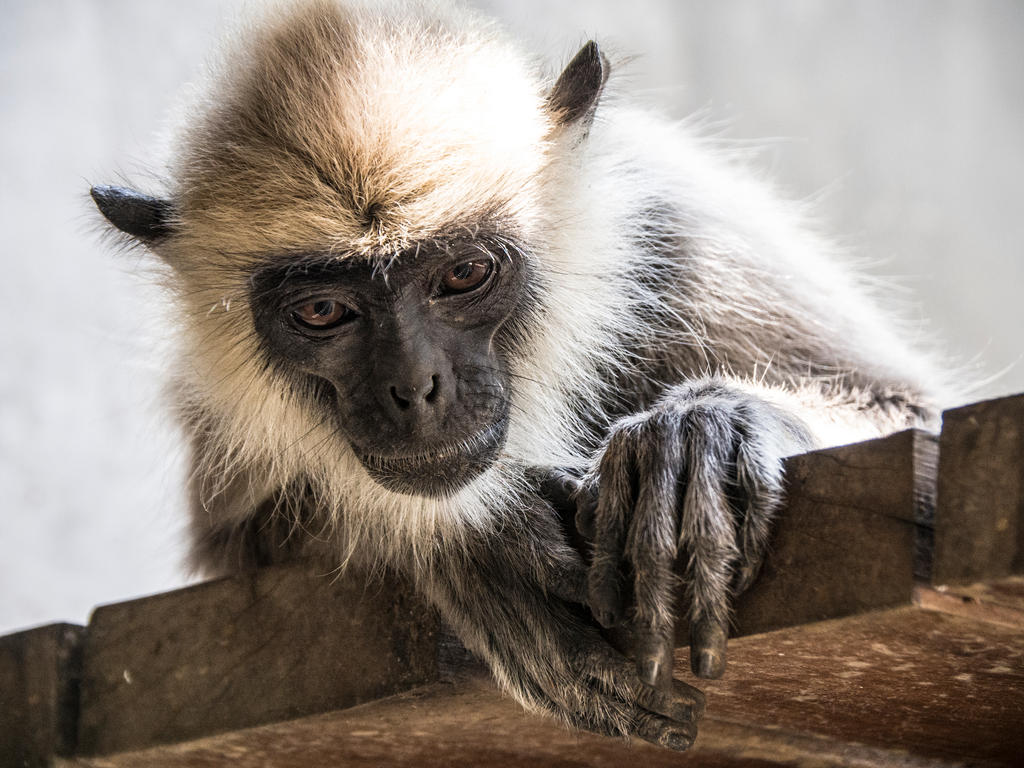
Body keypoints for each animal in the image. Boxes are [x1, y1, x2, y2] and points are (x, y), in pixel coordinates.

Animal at [92, 0, 946, 753]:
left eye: (464, 275)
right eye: (325, 312)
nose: (415, 389)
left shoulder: (678, 236)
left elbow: (913, 423)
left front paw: (701, 432)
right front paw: (477, 538)